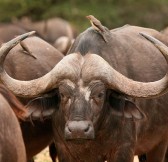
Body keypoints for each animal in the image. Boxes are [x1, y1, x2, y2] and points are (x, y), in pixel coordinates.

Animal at [1, 14, 168, 161]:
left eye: (100, 94)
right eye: (63, 94)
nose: (78, 130)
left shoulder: (124, 150)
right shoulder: (64, 150)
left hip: (159, 145)